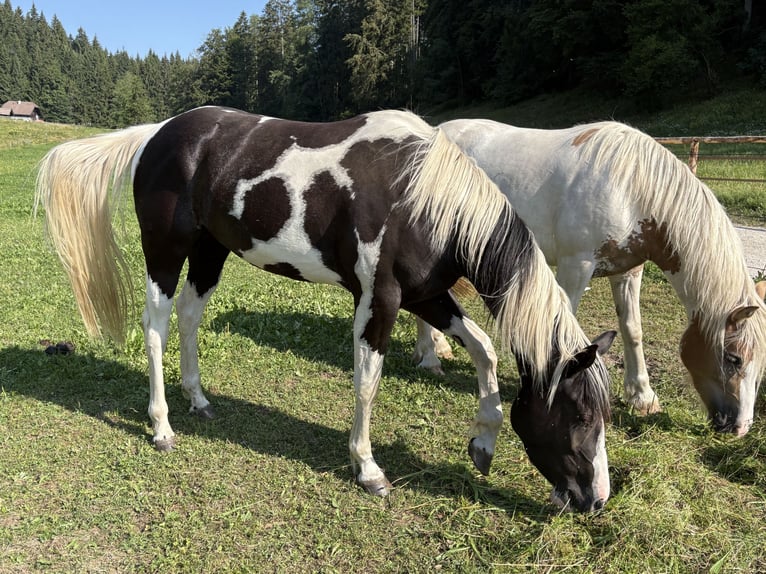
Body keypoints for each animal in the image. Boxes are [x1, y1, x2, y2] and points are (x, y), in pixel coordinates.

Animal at [35, 107, 615, 512]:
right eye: (581, 415)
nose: (596, 499)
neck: (421, 197)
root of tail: (158, 133)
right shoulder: (379, 301)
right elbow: (367, 383)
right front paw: (367, 468)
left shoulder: (426, 295)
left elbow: (486, 350)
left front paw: (483, 443)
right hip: (165, 251)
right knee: (155, 326)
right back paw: (161, 426)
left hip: (209, 252)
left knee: (189, 317)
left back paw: (197, 399)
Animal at [414, 119, 766, 436]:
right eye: (734, 358)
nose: (739, 428)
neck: (632, 189)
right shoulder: (577, 265)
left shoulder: (627, 271)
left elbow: (632, 329)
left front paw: (642, 397)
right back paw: (430, 357)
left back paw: (438, 347)